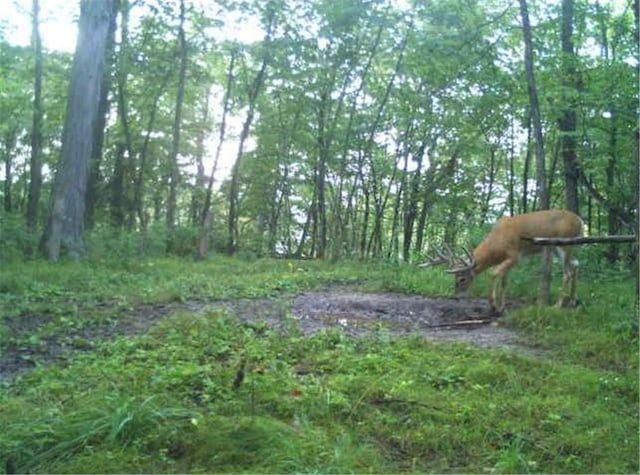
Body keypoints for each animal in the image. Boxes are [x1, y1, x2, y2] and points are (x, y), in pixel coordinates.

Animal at [422, 210, 584, 314]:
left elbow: (494, 274)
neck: (496, 245)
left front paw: (493, 305)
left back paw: (557, 305)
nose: (455, 297)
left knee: (567, 272)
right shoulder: (508, 260)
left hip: (565, 243)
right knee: (576, 264)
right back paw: (573, 300)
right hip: (558, 248)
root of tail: (580, 221)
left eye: (462, 279)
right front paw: (502, 307)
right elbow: (505, 282)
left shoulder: (514, 256)